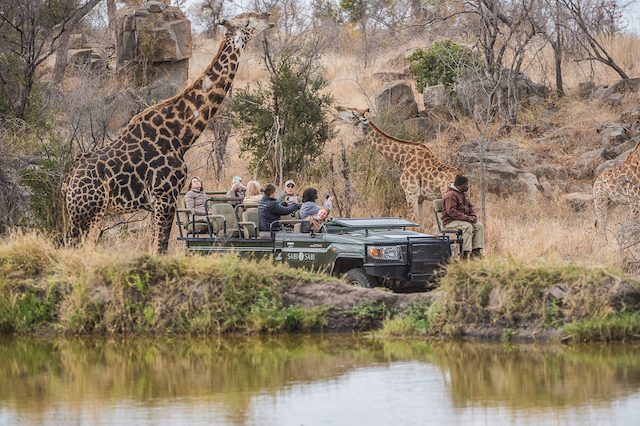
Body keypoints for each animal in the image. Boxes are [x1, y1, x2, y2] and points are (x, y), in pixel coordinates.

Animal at [61, 12, 273, 253]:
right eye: (247, 22)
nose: (269, 16)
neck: (181, 135)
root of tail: (67, 181)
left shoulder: (156, 204)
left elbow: (155, 246)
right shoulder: (166, 196)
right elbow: (161, 248)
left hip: (83, 214)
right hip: (86, 212)